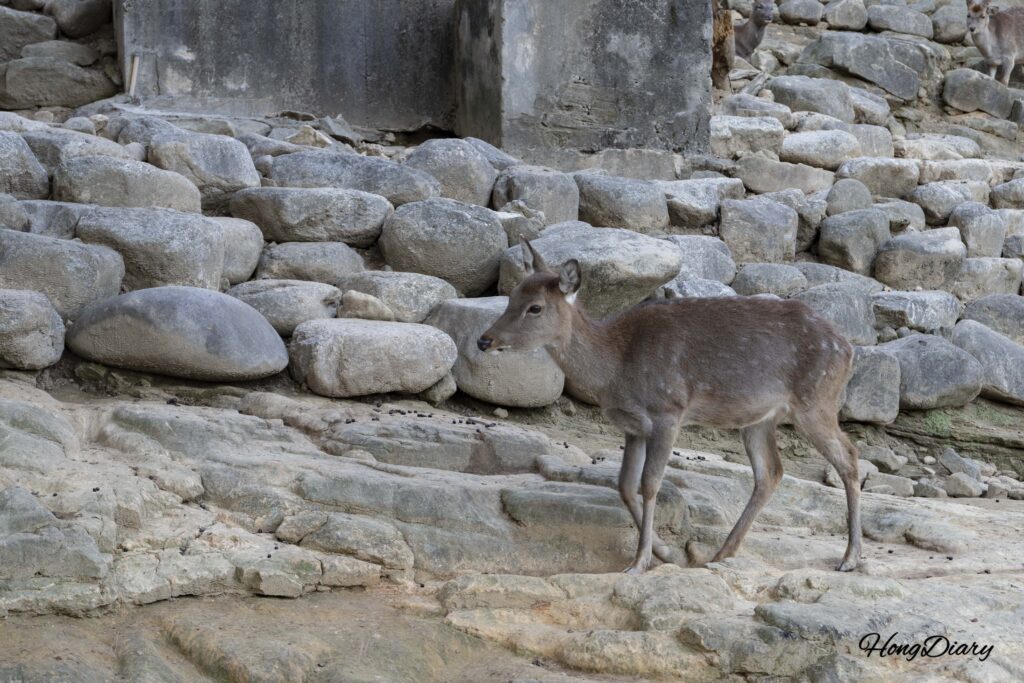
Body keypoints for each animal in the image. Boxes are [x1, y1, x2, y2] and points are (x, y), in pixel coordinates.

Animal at [478, 239, 862, 575]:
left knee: (848, 457)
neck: (616, 367)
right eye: (511, 295)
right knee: (771, 472)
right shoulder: (632, 426)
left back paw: (849, 558)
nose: (484, 340)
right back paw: (722, 552)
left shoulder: (668, 411)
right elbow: (624, 485)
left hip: (816, 401)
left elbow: (650, 484)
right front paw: (666, 552)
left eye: (536, 307)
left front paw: (639, 562)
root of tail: (848, 348)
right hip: (758, 418)